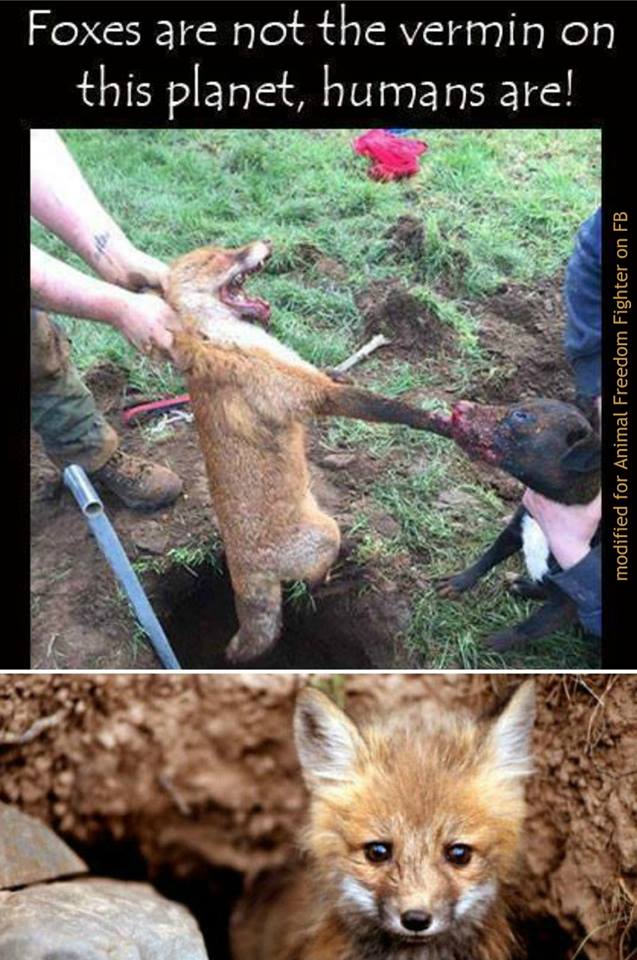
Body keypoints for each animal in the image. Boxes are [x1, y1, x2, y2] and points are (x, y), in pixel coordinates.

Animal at [166, 240, 452, 663]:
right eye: (219, 256)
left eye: (226, 248)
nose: (266, 242)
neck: (218, 337)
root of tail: (240, 566)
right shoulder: (312, 396)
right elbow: (391, 408)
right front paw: (448, 424)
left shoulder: (313, 376)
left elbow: (338, 374)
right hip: (325, 533)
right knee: (310, 590)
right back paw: (350, 574)